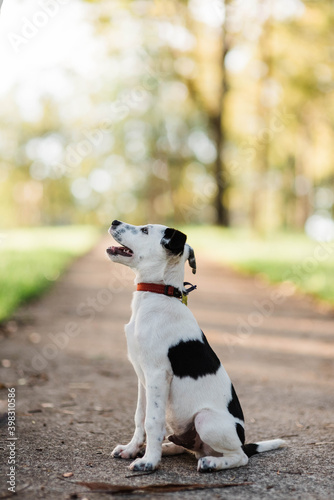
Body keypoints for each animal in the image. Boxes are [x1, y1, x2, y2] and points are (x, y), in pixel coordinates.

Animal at [105, 222, 284, 472]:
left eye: (145, 230)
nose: (114, 222)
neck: (157, 293)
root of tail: (242, 440)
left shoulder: (157, 374)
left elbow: (153, 421)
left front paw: (149, 462)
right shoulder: (142, 376)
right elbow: (140, 416)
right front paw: (132, 449)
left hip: (205, 419)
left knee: (240, 457)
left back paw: (211, 463)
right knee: (187, 447)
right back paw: (167, 448)